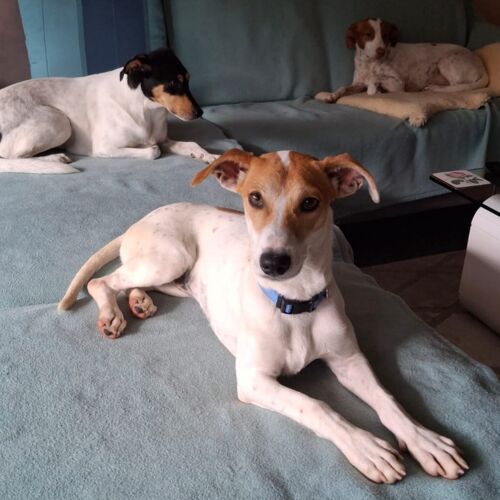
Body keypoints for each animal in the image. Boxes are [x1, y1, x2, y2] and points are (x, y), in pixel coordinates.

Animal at [0, 48, 217, 174]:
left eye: (188, 79)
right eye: (173, 83)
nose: (200, 113)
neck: (146, 110)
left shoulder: (164, 139)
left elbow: (192, 144)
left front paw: (210, 157)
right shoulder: (104, 148)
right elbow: (153, 151)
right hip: (58, 121)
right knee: (12, 157)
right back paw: (54, 158)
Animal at [59, 149, 468, 483]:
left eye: (310, 202)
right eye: (255, 198)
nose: (272, 262)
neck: (295, 302)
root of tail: (142, 219)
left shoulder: (349, 359)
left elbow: (388, 399)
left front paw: (424, 440)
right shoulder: (254, 381)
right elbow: (317, 405)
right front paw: (366, 446)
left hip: (175, 275)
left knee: (135, 283)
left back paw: (140, 302)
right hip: (169, 256)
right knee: (102, 281)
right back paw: (112, 314)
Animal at [315, 18, 488, 103]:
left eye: (385, 35)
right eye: (368, 34)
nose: (381, 50)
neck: (370, 63)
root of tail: (481, 64)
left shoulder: (397, 84)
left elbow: (375, 79)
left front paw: (374, 88)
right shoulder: (357, 83)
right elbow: (343, 87)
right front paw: (331, 95)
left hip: (447, 61)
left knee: (458, 87)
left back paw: (435, 88)